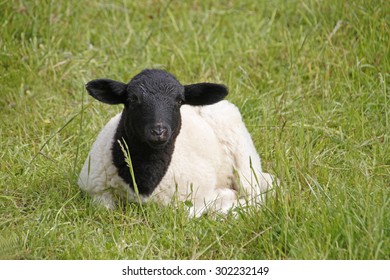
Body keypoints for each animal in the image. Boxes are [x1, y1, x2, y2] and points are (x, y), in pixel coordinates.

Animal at [77, 68, 274, 217]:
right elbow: (104, 208)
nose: (159, 131)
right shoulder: (95, 191)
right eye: (133, 99)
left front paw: (223, 199)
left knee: (256, 197)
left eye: (179, 100)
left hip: (244, 159)